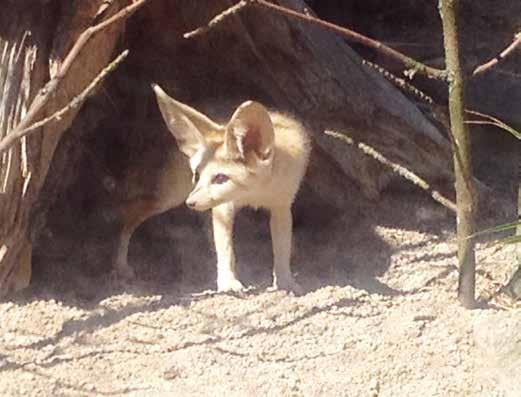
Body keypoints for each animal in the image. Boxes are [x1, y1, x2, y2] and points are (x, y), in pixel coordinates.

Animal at [152, 84, 310, 294]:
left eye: (220, 178)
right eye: (197, 175)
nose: (190, 203)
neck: (256, 193)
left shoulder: (281, 206)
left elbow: (282, 248)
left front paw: (285, 281)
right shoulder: (223, 208)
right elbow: (226, 248)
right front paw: (228, 282)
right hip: (166, 199)